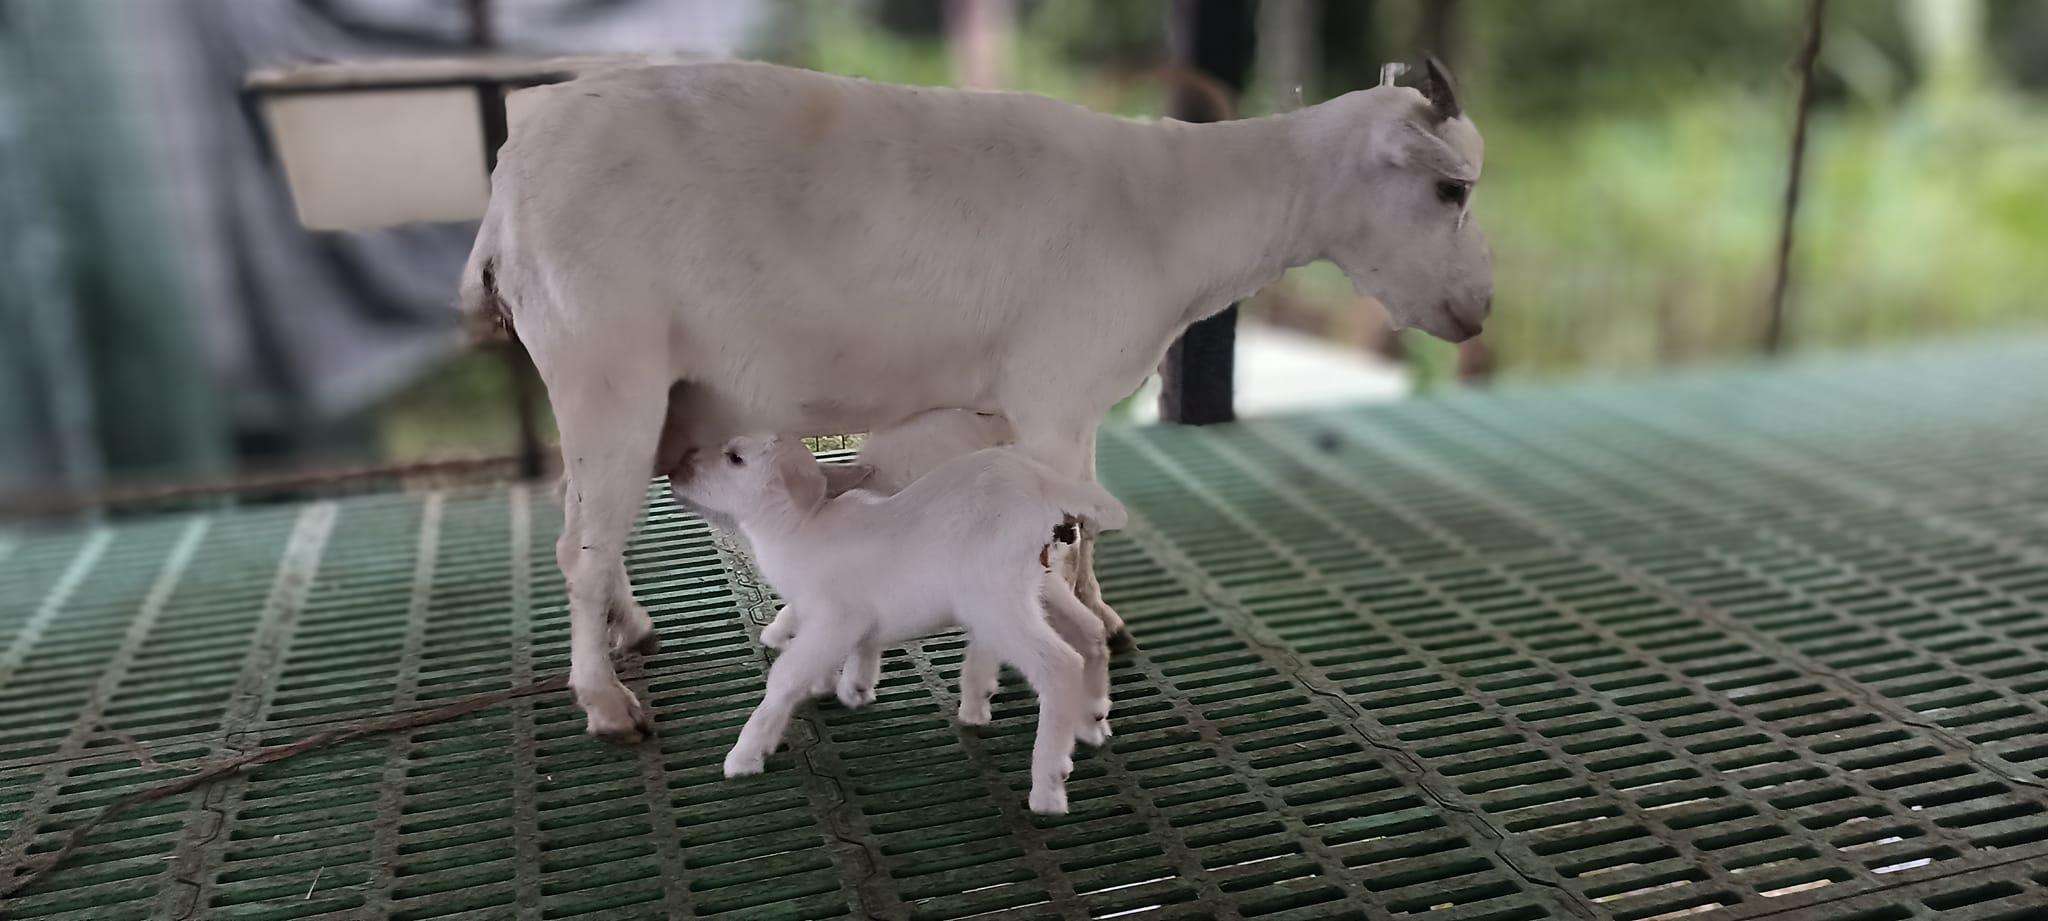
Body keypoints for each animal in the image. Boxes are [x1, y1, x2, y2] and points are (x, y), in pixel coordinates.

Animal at [461, 57, 1490, 741]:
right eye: (1451, 187)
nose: (1478, 312)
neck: (1173, 209)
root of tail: (506, 189)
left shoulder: (1045, 405)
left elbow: (1077, 522)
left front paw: (1091, 618)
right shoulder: (1056, 390)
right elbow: (1072, 529)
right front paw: (1086, 634)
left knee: (586, 520)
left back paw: (630, 630)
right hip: (609, 367)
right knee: (580, 546)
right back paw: (606, 701)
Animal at [670, 435, 1127, 814]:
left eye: (735, 458)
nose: (677, 469)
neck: (800, 524)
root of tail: (1045, 484)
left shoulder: (836, 615)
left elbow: (786, 677)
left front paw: (747, 754)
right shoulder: (849, 621)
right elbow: (856, 647)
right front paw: (852, 687)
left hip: (996, 598)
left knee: (1060, 664)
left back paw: (1048, 785)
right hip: (1038, 582)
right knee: (1090, 631)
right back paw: (1092, 720)